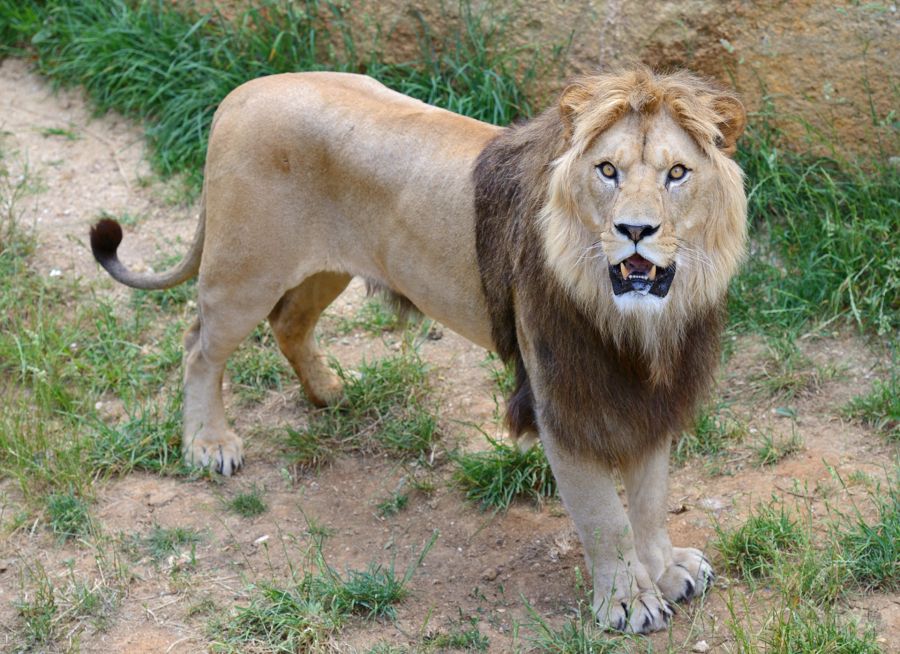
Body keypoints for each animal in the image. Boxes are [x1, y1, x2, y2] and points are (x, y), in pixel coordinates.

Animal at [90, 67, 747, 634]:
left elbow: (650, 499)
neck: (638, 325)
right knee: (198, 346)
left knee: (289, 324)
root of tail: (241, 93)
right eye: (607, 170)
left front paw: (667, 570)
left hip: (326, 270)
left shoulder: (651, 392)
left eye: (677, 174)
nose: (634, 230)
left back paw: (329, 392)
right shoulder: (562, 401)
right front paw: (628, 601)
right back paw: (209, 443)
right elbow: (606, 518)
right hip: (244, 273)